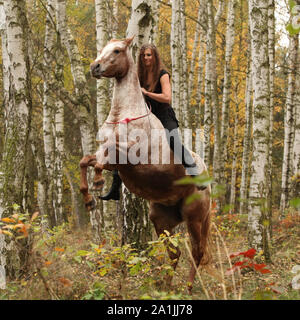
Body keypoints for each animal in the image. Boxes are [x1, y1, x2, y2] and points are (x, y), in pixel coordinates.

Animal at [79, 36, 211, 292]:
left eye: (117, 51)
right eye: (103, 49)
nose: (94, 67)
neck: (123, 114)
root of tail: (208, 182)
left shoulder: (128, 154)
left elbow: (102, 159)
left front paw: (98, 181)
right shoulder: (111, 160)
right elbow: (85, 161)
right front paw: (90, 199)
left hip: (195, 217)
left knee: (197, 252)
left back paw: (188, 288)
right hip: (162, 219)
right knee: (175, 253)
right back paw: (165, 287)